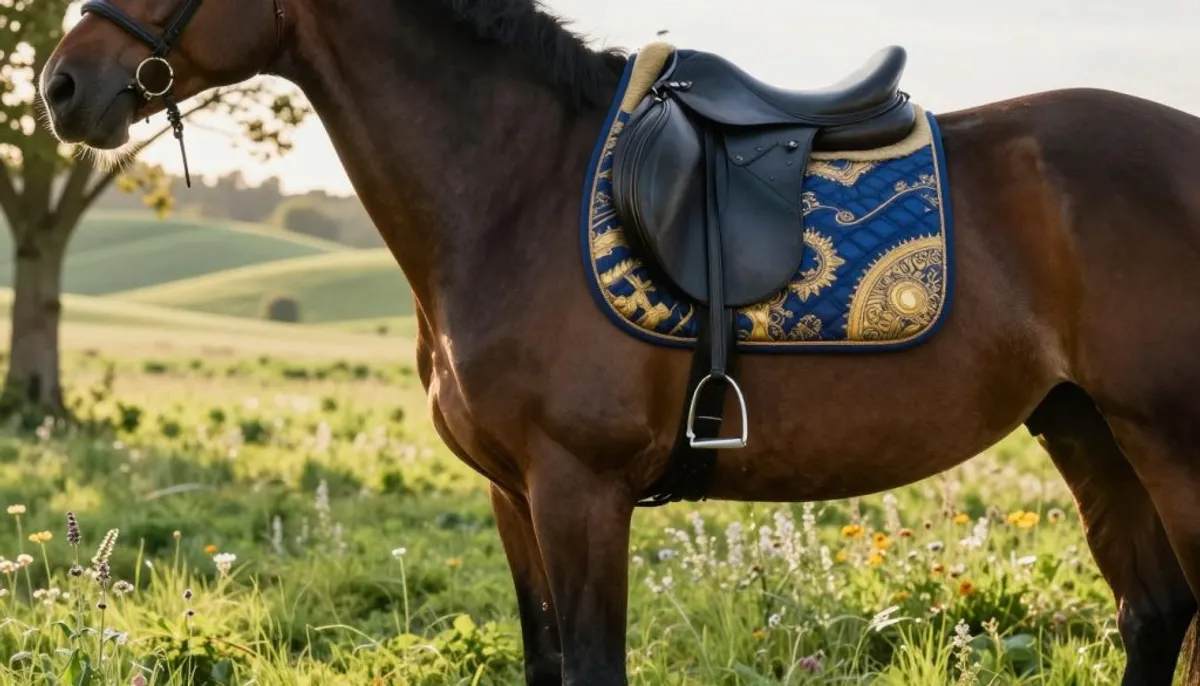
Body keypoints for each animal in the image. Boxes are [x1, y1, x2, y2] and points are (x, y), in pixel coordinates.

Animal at [38, 0, 1200, 684]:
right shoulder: (512, 494)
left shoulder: (579, 488)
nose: (59, 85)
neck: (515, 188)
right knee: (1154, 611)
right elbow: (546, 658)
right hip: (1087, 428)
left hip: (1166, 442)